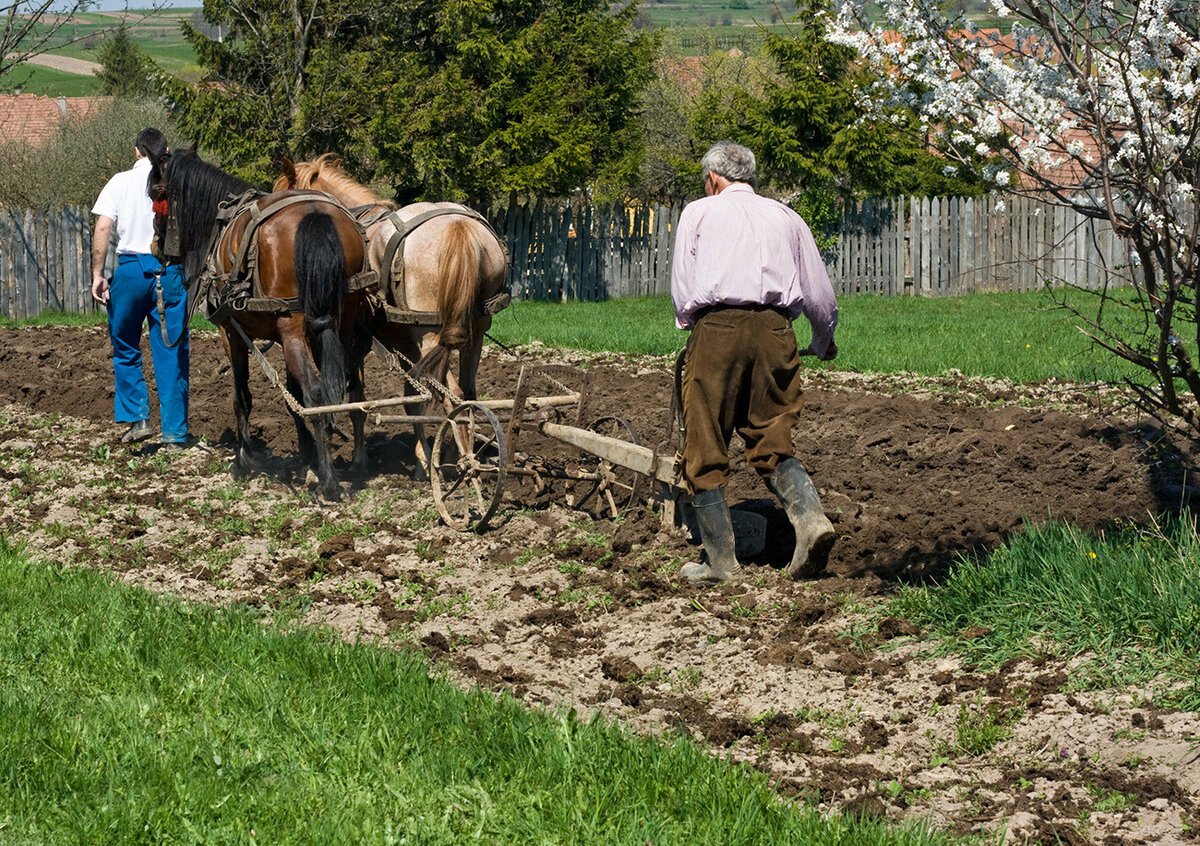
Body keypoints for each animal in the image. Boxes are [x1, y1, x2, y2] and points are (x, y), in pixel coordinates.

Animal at [153, 148, 369, 499]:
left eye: (155, 193)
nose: (155, 245)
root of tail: (315, 213)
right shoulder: (288, 336)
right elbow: (292, 396)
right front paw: (305, 456)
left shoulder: (230, 333)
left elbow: (242, 398)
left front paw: (242, 462)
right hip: (342, 320)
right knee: (351, 388)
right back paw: (351, 466)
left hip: (291, 327)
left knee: (317, 393)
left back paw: (329, 483)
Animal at [276, 154, 511, 472]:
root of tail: (459, 227)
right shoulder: (404, 346)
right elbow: (412, 401)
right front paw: (422, 458)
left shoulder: (359, 342)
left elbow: (359, 400)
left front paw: (361, 460)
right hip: (476, 329)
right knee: (468, 391)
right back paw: (454, 453)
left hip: (431, 336)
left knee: (454, 395)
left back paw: (464, 461)